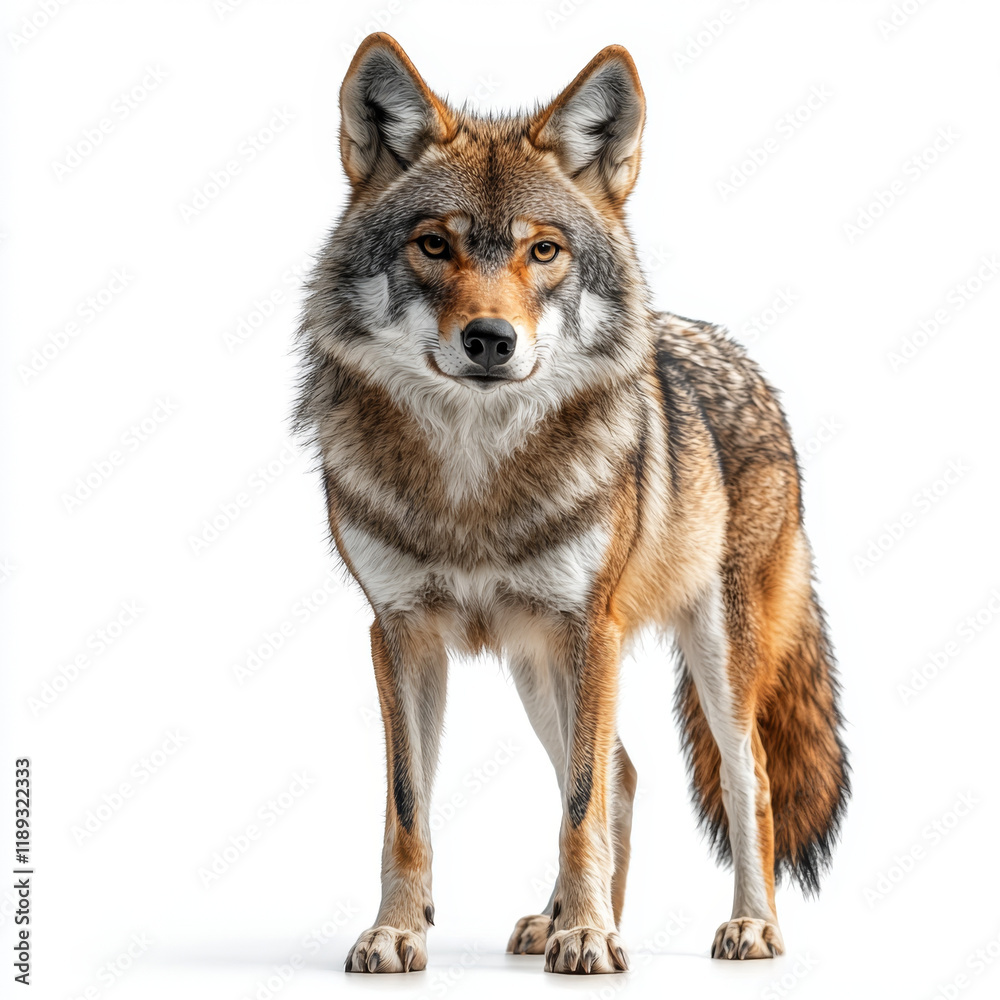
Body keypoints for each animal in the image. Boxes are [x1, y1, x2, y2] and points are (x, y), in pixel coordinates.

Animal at [294, 33, 849, 975]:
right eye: (433, 245)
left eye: (544, 251)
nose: (490, 340)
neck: (474, 481)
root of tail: (740, 358)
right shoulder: (400, 632)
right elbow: (412, 809)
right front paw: (400, 931)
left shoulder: (591, 627)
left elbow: (581, 805)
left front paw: (589, 935)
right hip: (537, 667)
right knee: (619, 770)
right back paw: (554, 920)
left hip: (709, 657)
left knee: (750, 780)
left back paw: (747, 926)